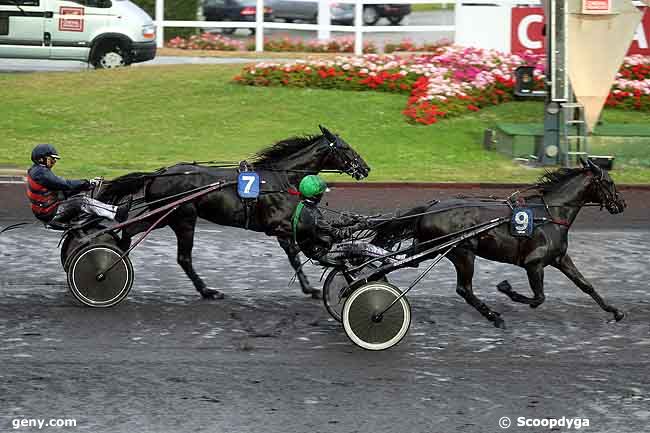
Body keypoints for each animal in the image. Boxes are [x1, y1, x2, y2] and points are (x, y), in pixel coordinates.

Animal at [97, 125, 370, 296]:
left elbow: (298, 252)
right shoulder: (278, 226)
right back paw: (207, 291)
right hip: (184, 217)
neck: (279, 179)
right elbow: (295, 254)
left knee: (130, 230)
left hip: (164, 215)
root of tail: (159, 173)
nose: (366, 168)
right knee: (183, 258)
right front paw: (312, 287)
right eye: (346, 148)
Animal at [372, 159, 624, 328]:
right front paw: (507, 290)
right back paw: (494, 316)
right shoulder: (534, 263)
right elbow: (539, 298)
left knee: (403, 263)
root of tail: (430, 208)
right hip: (463, 252)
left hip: (433, 249)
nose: (622, 204)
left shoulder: (559, 258)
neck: (549, 214)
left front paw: (615, 311)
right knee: (464, 289)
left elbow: (585, 285)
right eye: (610, 182)